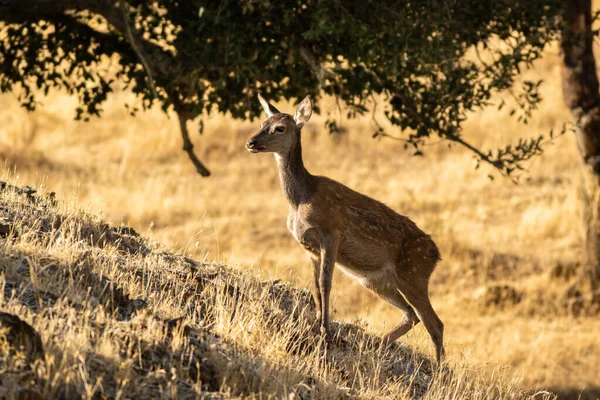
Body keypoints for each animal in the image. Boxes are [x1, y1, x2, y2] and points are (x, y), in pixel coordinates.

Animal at [245, 94, 446, 362]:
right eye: (261, 122)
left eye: (280, 128)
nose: (251, 142)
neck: (301, 198)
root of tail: (436, 254)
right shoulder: (309, 248)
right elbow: (315, 288)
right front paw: (317, 326)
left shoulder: (332, 233)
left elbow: (325, 283)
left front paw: (325, 331)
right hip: (375, 280)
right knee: (412, 316)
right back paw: (376, 346)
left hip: (414, 273)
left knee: (434, 323)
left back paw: (439, 367)